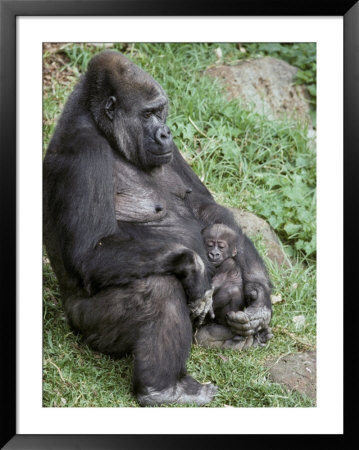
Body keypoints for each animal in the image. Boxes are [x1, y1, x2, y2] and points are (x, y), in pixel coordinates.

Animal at [43, 50, 272, 408]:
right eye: (148, 113)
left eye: (161, 111)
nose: (165, 132)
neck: (102, 129)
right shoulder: (84, 152)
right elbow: (90, 252)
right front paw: (192, 267)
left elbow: (207, 208)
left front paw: (260, 299)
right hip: (85, 326)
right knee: (159, 287)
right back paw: (162, 388)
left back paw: (224, 336)